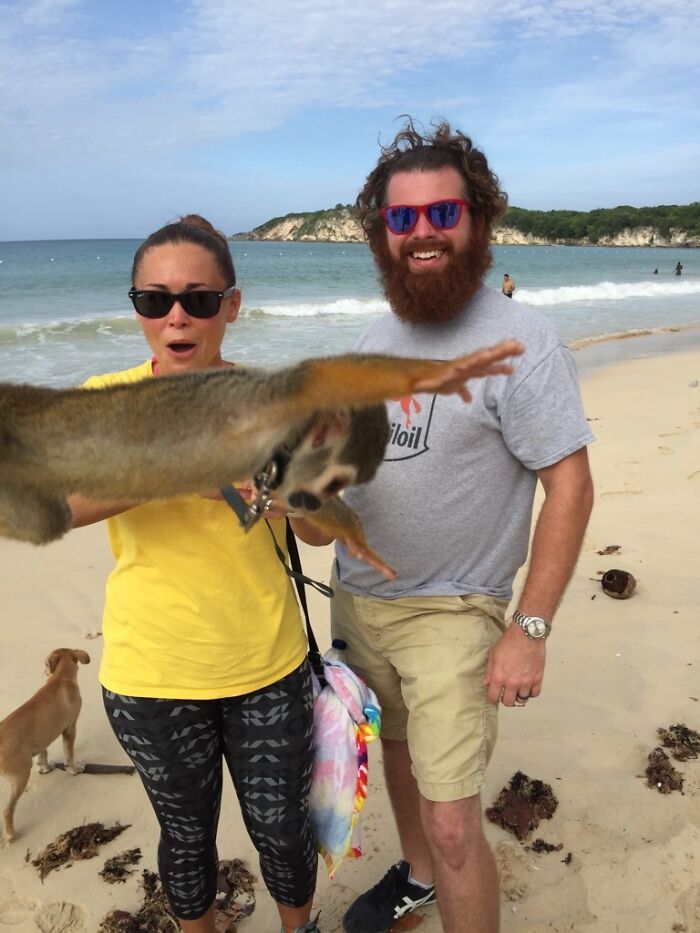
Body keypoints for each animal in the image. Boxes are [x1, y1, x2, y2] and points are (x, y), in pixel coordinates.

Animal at [0, 341, 523, 574]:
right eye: (335, 482)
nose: (311, 503)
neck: (285, 437)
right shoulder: (275, 403)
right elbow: (319, 375)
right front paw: (437, 373)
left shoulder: (274, 471)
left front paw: (355, 538)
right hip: (14, 421)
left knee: (50, 520)